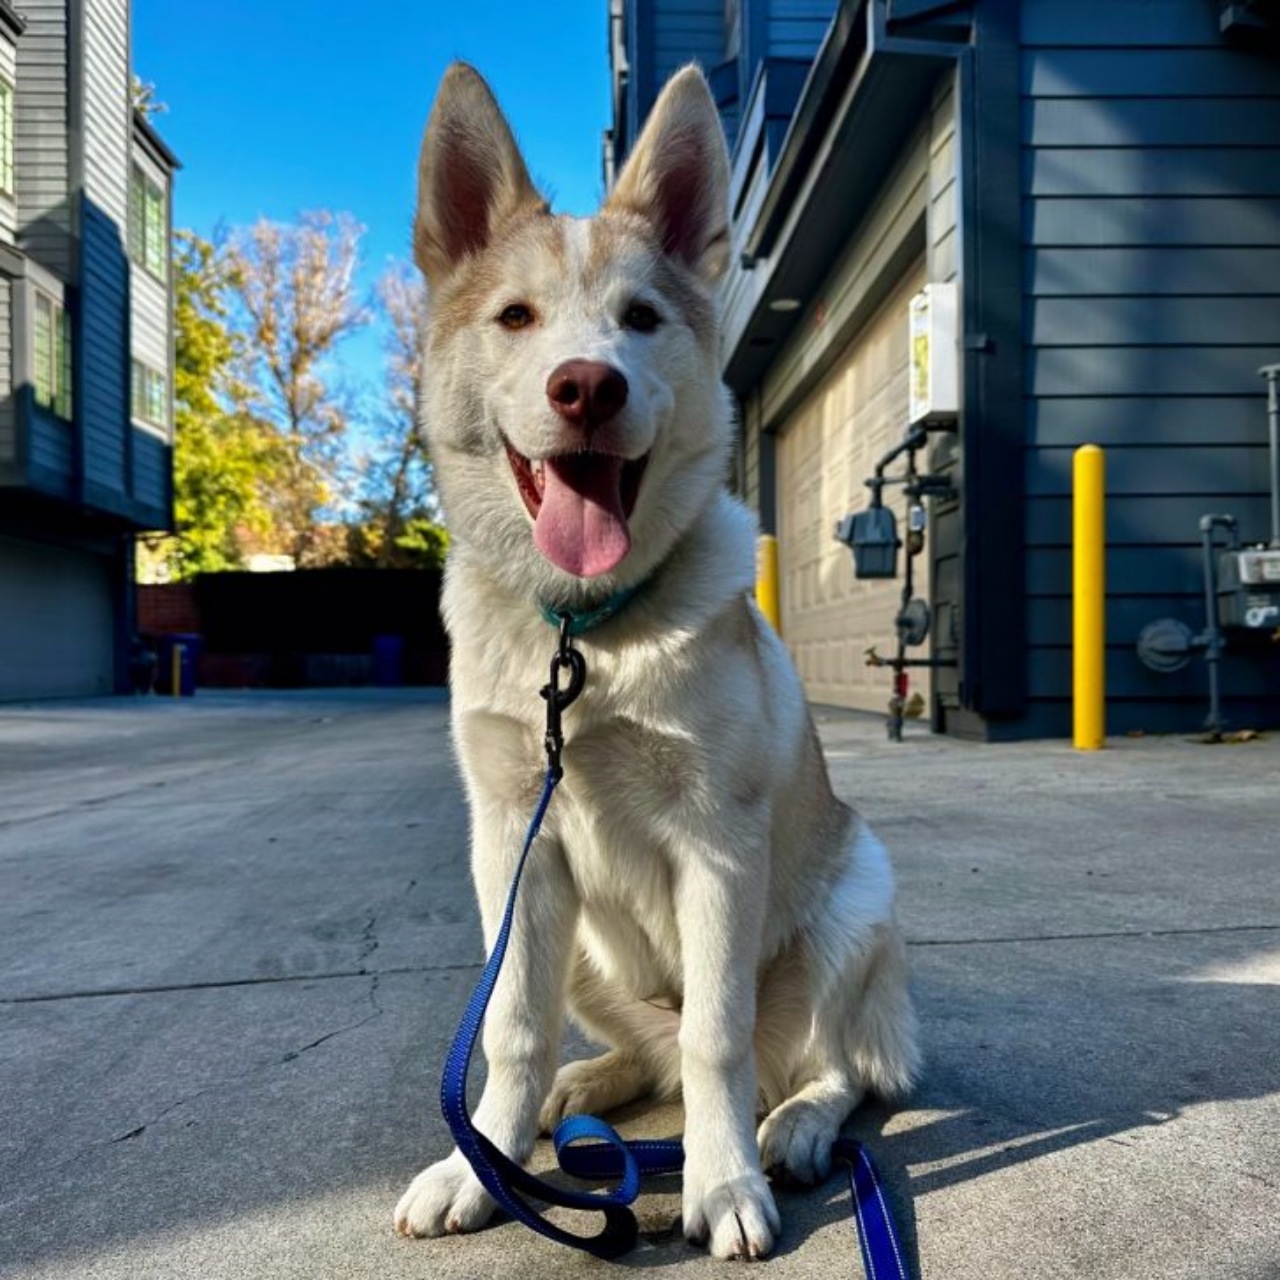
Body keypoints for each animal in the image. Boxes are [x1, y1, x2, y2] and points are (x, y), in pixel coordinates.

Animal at [391, 62, 921, 1259]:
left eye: (640, 319)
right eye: (515, 318)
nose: (586, 385)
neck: (584, 633)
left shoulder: (716, 849)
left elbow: (715, 1038)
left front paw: (722, 1182)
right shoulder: (514, 844)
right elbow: (511, 1022)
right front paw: (480, 1160)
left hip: (855, 901)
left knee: (826, 1064)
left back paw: (794, 1124)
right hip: (575, 936)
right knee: (626, 1046)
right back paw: (571, 1093)